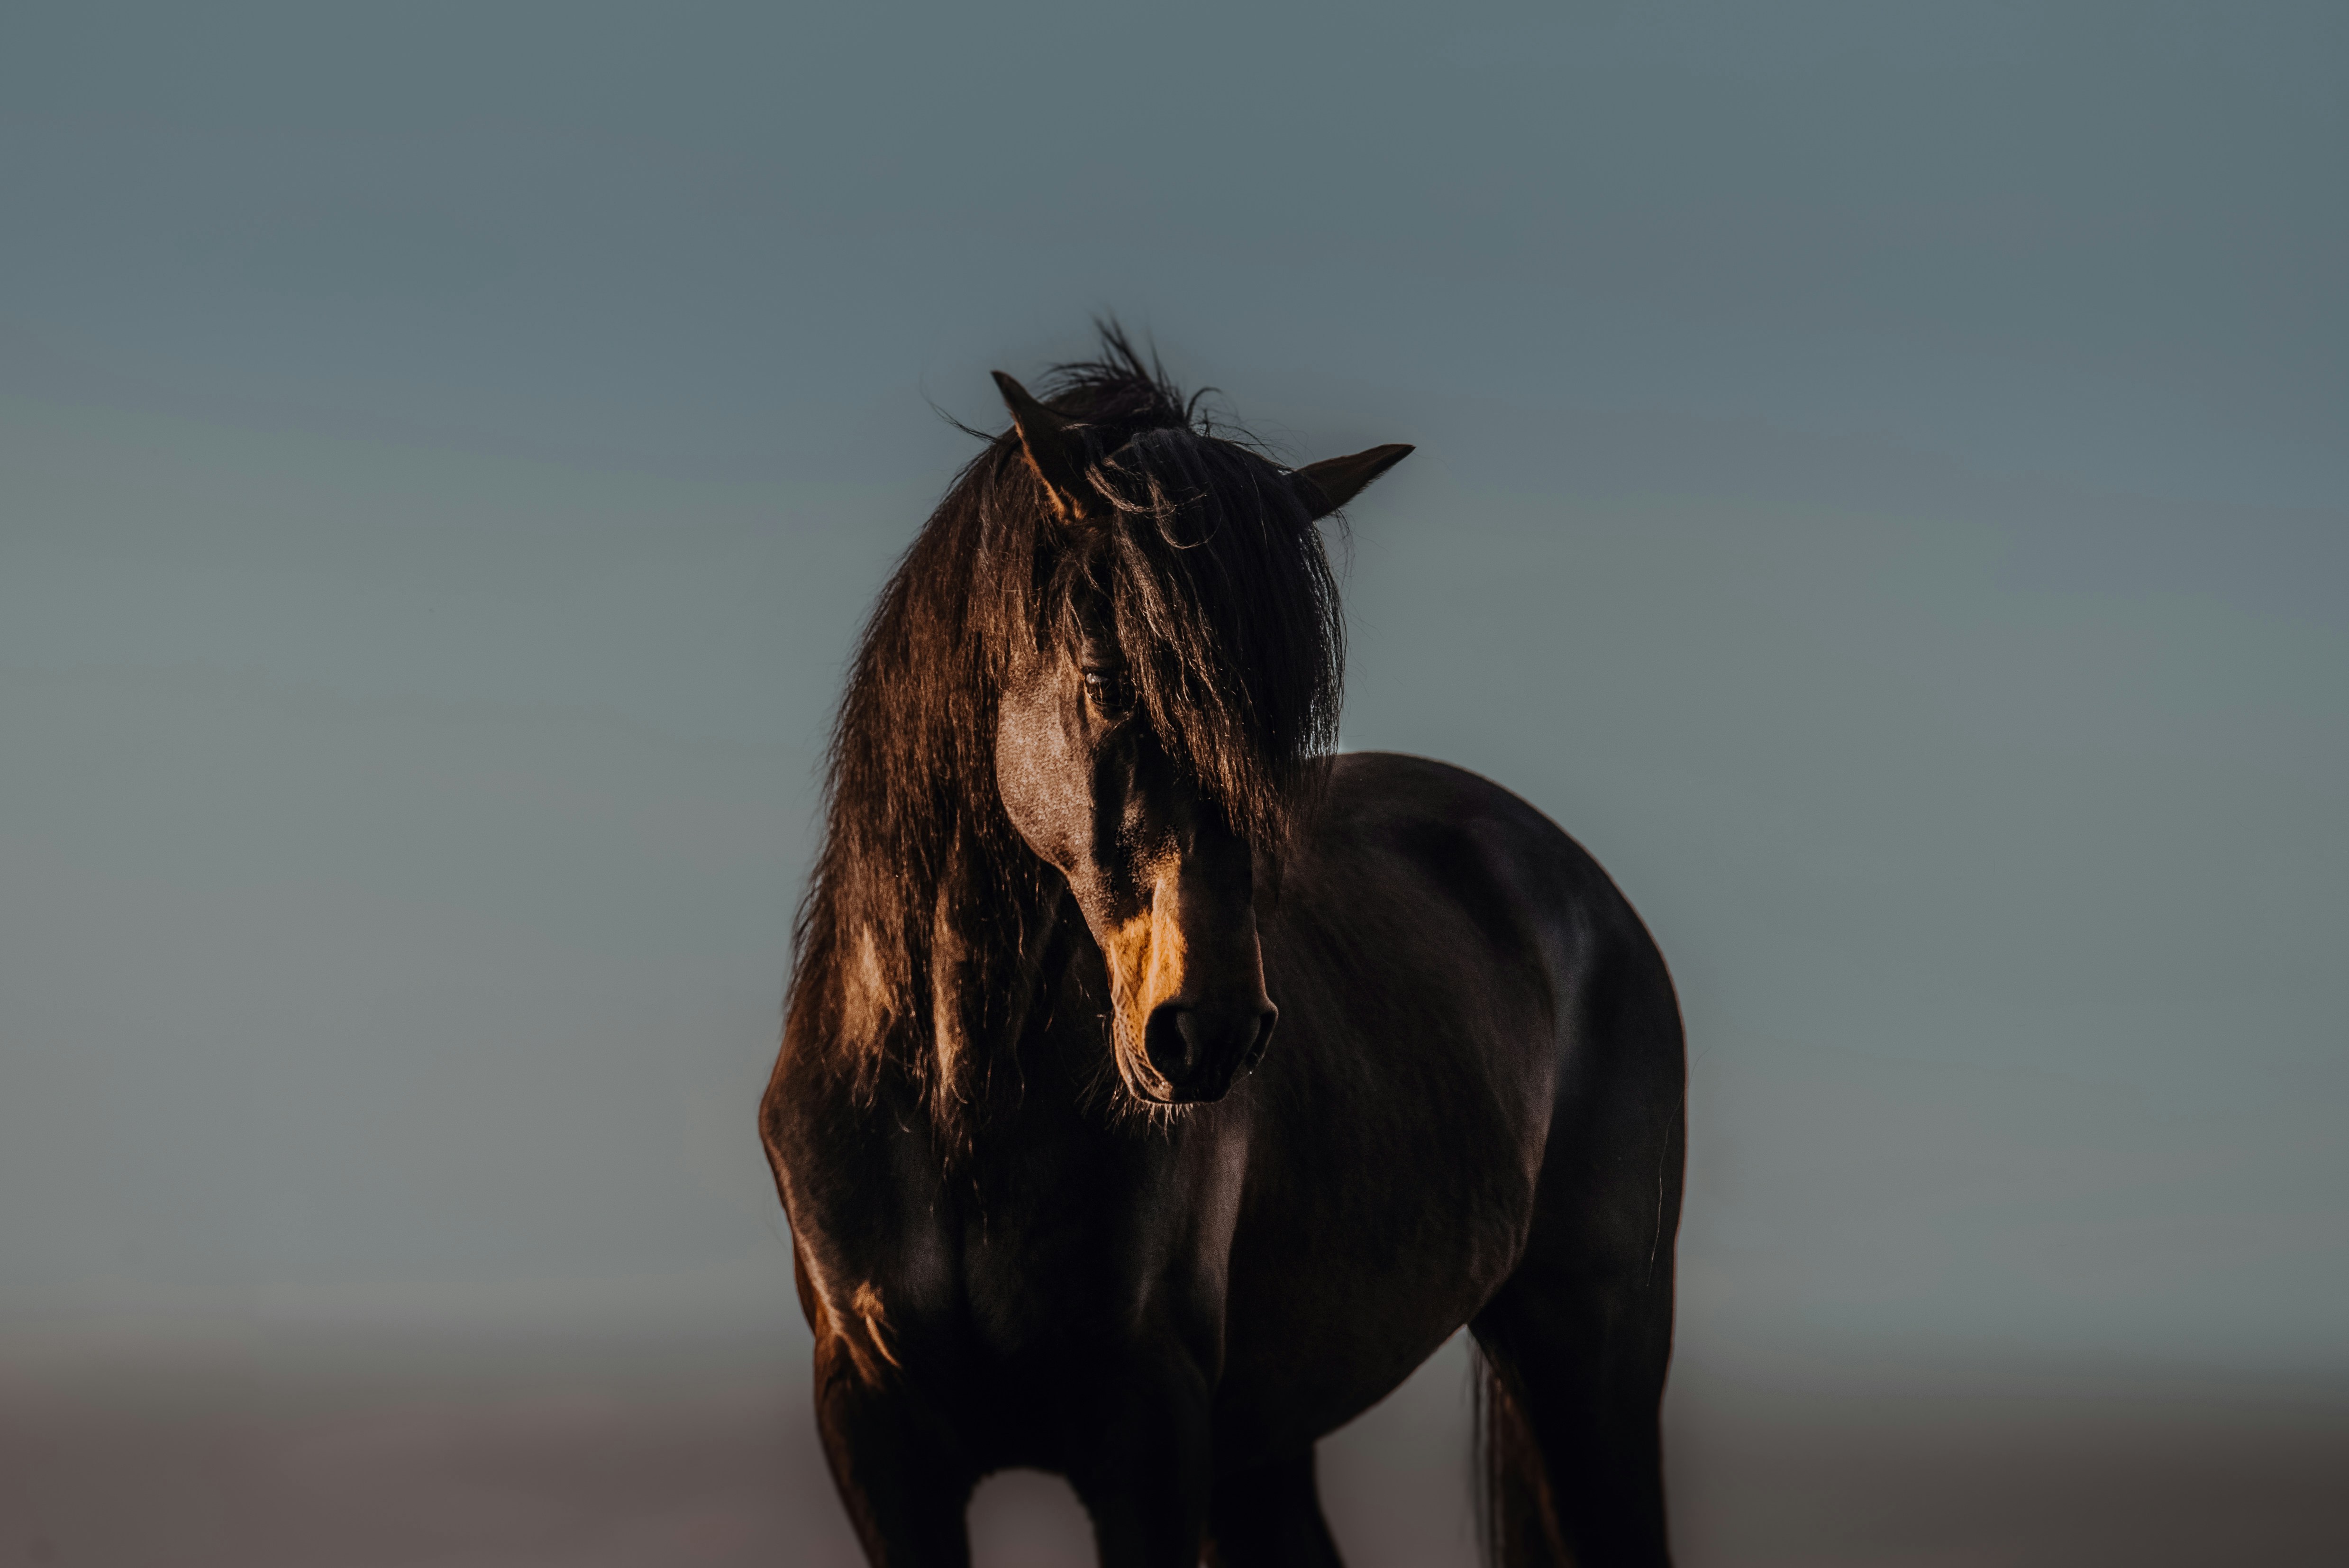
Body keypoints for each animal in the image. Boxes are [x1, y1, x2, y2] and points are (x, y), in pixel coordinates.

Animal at [760, 333, 1685, 1567]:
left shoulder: (1150, 1427)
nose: (1209, 1030)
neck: (955, 1103)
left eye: (1280, 719)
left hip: (1592, 1354)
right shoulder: (879, 1432)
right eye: (1110, 680)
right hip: (1271, 1440)